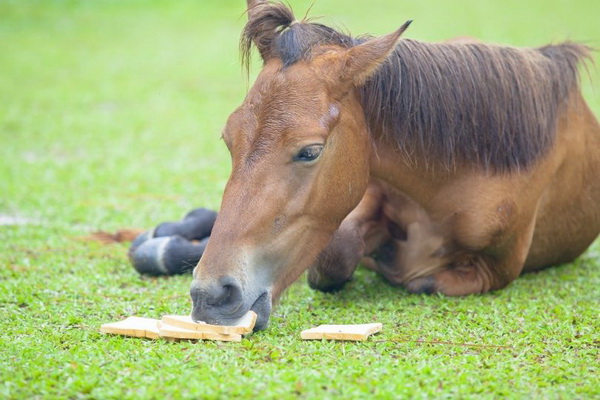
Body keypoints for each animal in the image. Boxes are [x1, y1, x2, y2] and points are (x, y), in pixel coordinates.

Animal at [190, 0, 600, 332]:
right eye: (228, 139)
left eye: (310, 152)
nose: (211, 295)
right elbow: (336, 256)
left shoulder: (498, 270)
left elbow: (421, 279)